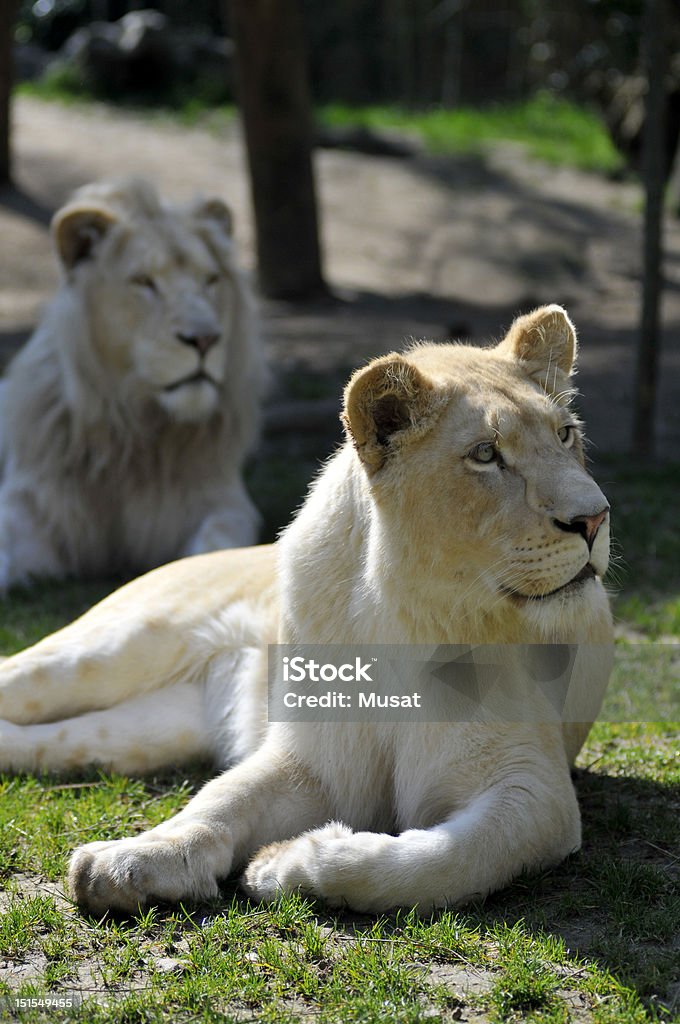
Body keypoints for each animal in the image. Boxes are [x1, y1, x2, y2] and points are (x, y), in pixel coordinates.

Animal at [0, 180, 266, 589]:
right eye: (143, 282)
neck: (136, 431)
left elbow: (217, 545)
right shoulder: (30, 501)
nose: (206, 339)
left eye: (210, 280)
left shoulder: (222, 501)